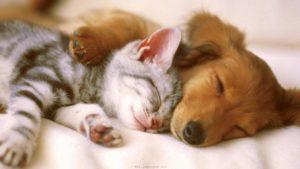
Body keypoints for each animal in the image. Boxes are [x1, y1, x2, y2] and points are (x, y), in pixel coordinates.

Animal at [0, 20, 180, 166]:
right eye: (157, 96)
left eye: (164, 124)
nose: (155, 123)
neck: (91, 89)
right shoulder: (37, 78)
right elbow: (26, 113)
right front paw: (17, 141)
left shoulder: (56, 105)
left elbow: (81, 110)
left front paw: (98, 126)